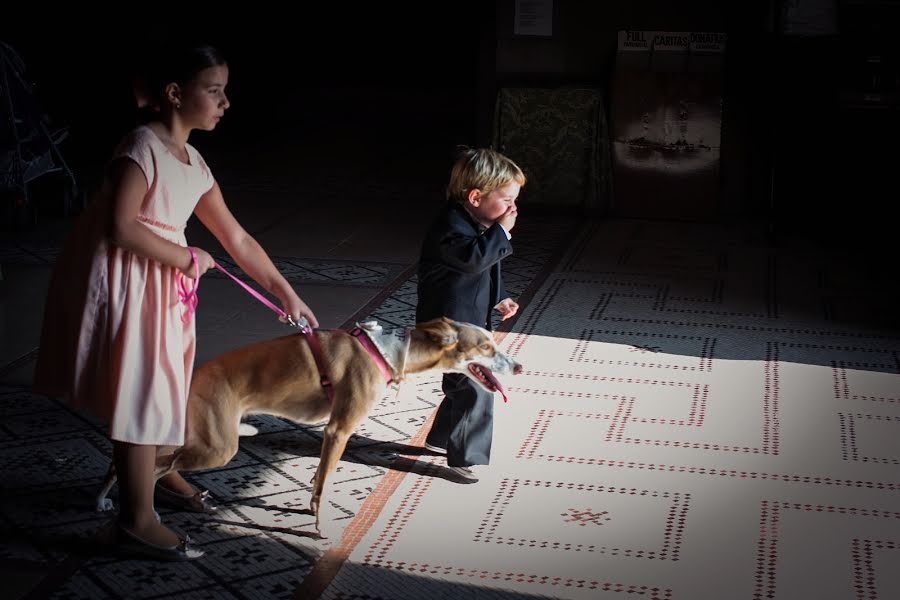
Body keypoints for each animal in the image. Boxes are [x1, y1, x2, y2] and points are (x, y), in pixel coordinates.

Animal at [96, 316, 520, 528]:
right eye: (486, 347)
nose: (517, 366)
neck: (391, 352)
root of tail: (191, 373)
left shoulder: (331, 435)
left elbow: (317, 480)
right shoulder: (338, 430)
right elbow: (324, 484)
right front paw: (318, 525)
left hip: (193, 437)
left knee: (127, 461)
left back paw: (103, 500)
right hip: (217, 447)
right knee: (151, 469)